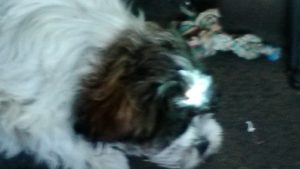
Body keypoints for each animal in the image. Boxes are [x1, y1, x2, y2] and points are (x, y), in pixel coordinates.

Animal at [0, 0, 223, 169]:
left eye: (204, 110)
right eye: (175, 126)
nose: (204, 144)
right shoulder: (33, 111)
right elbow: (58, 137)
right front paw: (104, 160)